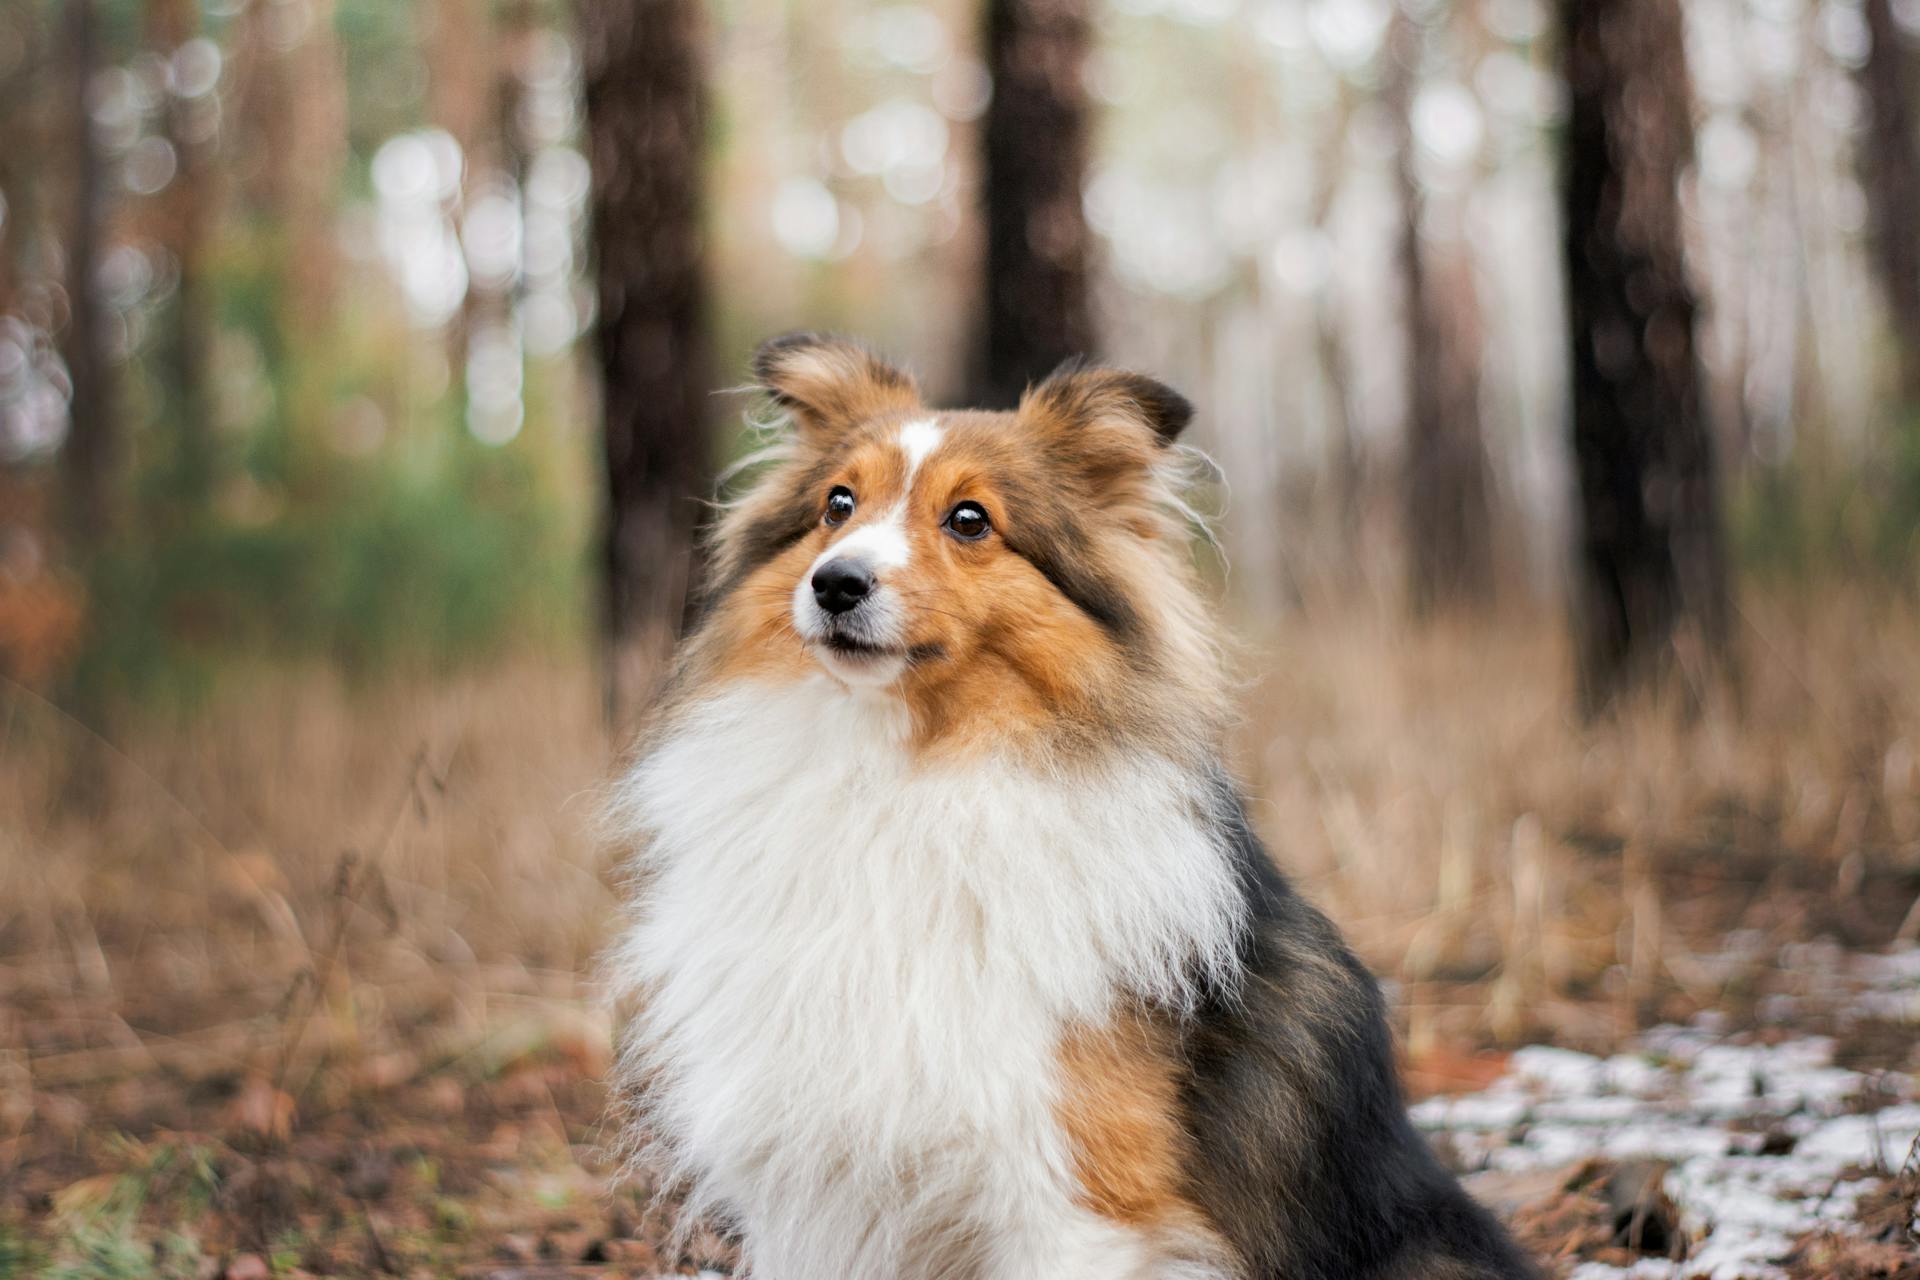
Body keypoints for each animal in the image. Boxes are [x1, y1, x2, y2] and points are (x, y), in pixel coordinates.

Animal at [606, 335, 1536, 1274]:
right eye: (837, 504)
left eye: (970, 519)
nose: (835, 584)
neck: (900, 776)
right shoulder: (813, 1196)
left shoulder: (1075, 1206)